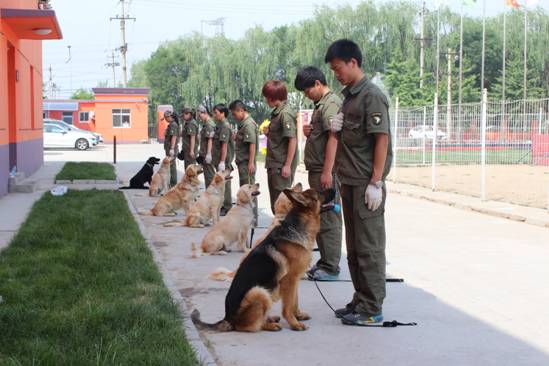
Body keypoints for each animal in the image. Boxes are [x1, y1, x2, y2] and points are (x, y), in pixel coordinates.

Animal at [191, 187, 332, 334]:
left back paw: (270, 319)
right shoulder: (289, 280)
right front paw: (294, 323)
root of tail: (227, 319)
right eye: (320, 192)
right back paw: (269, 325)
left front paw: (298, 315)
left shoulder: (295, 280)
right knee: (247, 326)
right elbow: (288, 307)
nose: (333, 188)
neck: (297, 227)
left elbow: (294, 301)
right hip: (258, 292)